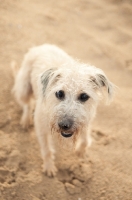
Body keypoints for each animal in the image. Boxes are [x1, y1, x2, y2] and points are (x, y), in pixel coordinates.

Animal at [11, 44, 114, 177]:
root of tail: (42, 46)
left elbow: (86, 140)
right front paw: (49, 167)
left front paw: (80, 152)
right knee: (27, 104)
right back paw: (25, 119)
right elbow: (47, 150)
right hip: (23, 88)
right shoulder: (40, 126)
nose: (64, 125)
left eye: (84, 96)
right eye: (59, 93)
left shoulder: (86, 120)